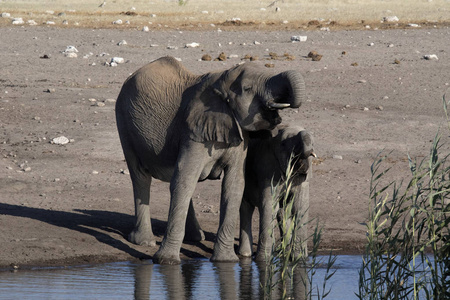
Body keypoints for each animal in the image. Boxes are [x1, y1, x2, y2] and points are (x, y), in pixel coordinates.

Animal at [116, 56, 306, 264]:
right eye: (247, 88)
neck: (221, 81)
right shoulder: (193, 131)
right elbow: (184, 180)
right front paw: (166, 261)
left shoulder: (237, 135)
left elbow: (234, 186)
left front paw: (225, 261)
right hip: (124, 122)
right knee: (140, 176)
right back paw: (144, 241)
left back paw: (195, 237)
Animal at [237, 125, 314, 262]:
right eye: (283, 144)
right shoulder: (268, 169)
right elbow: (269, 206)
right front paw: (263, 261)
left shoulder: (304, 180)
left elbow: (299, 207)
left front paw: (299, 260)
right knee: (246, 208)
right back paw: (246, 255)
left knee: (282, 211)